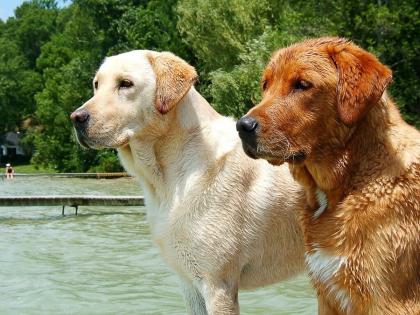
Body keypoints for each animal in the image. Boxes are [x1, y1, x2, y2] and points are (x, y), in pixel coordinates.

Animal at [70, 50, 304, 314]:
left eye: (126, 84)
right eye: (96, 85)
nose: (76, 118)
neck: (165, 179)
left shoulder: (217, 285)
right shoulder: (189, 283)